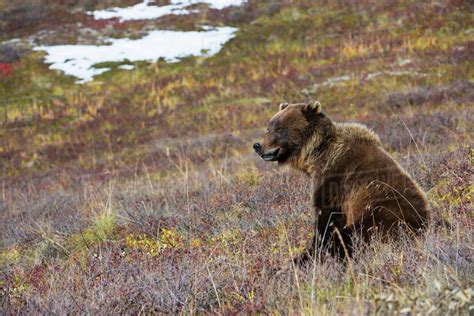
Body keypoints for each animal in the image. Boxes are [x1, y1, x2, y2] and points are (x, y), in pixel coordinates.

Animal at [254, 101, 432, 264]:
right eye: (269, 127)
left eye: (279, 128)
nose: (257, 145)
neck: (318, 154)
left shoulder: (335, 180)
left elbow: (327, 221)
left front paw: (307, 254)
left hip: (380, 218)